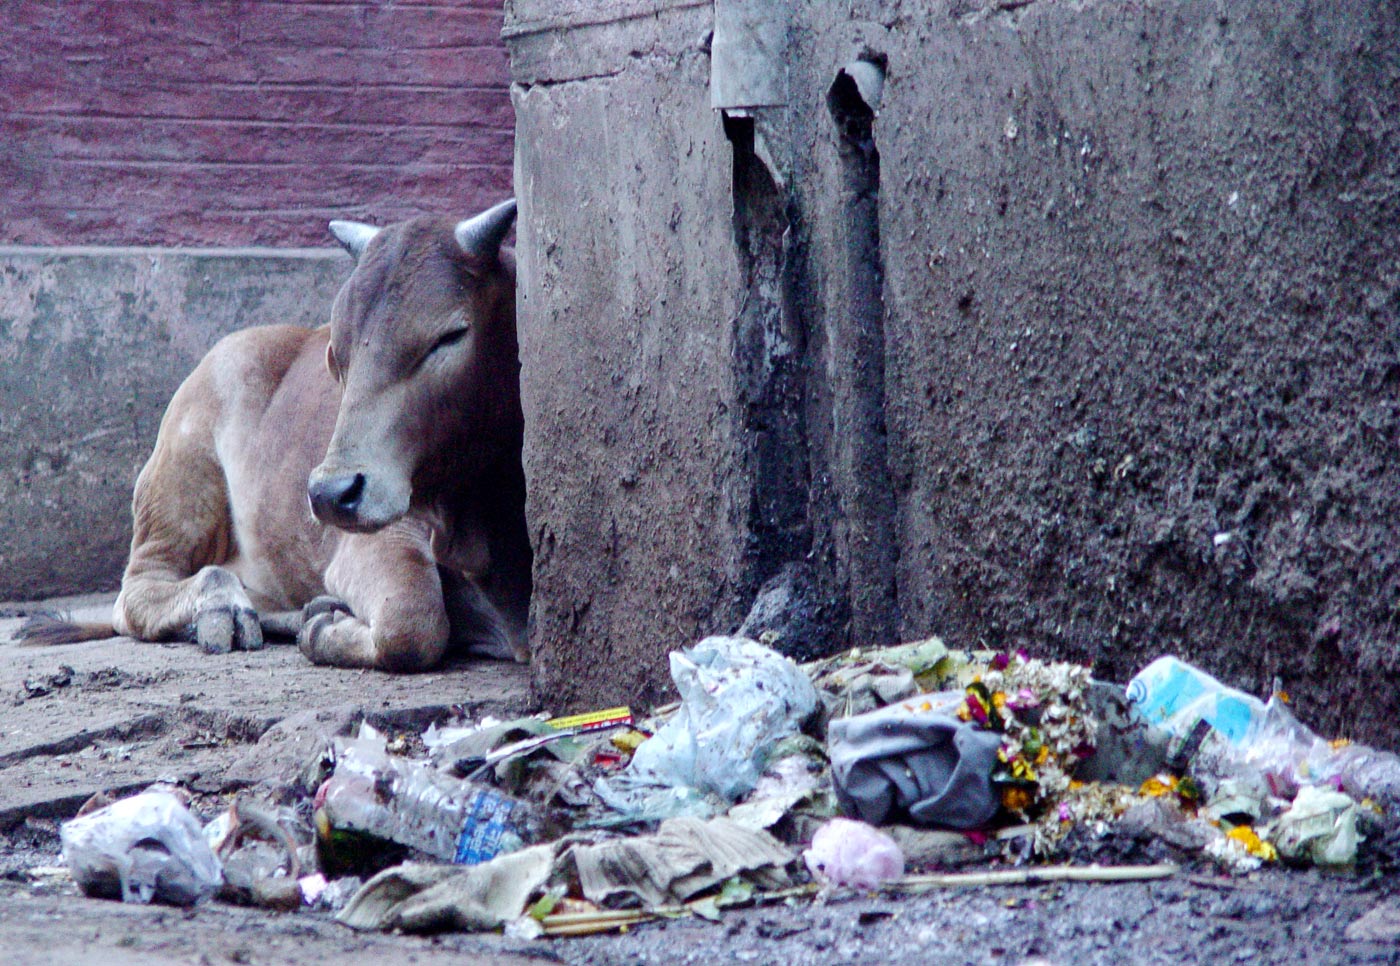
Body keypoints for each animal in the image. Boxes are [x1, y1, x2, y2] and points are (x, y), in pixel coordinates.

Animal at [21, 201, 534, 669]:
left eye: (450, 336)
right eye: (336, 353)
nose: (331, 493)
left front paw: (322, 621)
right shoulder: (378, 536)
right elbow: (413, 621)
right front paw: (325, 629)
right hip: (178, 482)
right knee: (140, 589)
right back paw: (224, 608)